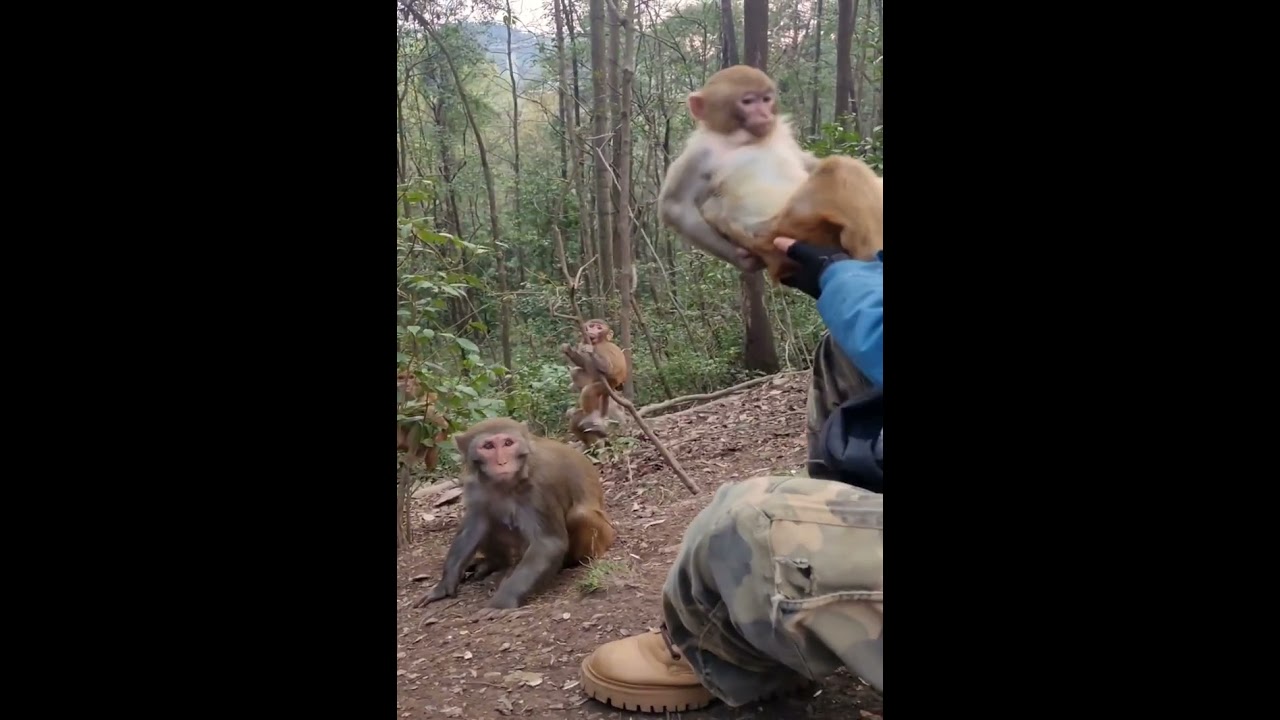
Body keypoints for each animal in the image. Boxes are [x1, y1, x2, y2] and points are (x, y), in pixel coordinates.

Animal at [411, 418, 616, 619]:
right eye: (488, 446)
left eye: (508, 443)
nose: (502, 462)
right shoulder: (473, 483)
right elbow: (473, 525)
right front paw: (444, 585)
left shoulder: (540, 487)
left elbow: (548, 543)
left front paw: (501, 602)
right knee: (489, 517)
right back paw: (493, 563)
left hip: (604, 536)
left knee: (579, 515)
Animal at [658, 64, 882, 284]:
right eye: (748, 101)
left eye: (766, 99)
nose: (764, 114)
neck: (744, 139)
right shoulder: (700, 151)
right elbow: (675, 206)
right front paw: (744, 260)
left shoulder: (781, 132)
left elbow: (806, 162)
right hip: (787, 229)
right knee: (840, 171)